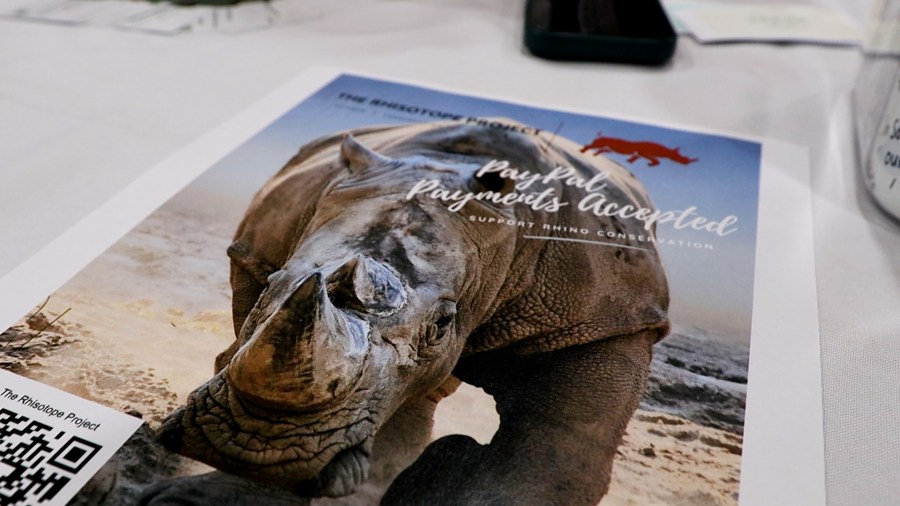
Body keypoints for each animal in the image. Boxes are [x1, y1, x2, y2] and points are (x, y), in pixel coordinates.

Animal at [151, 120, 670, 505]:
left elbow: (552, 454)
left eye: (442, 325)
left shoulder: (602, 321)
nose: (252, 447)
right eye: (274, 282)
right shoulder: (256, 259)